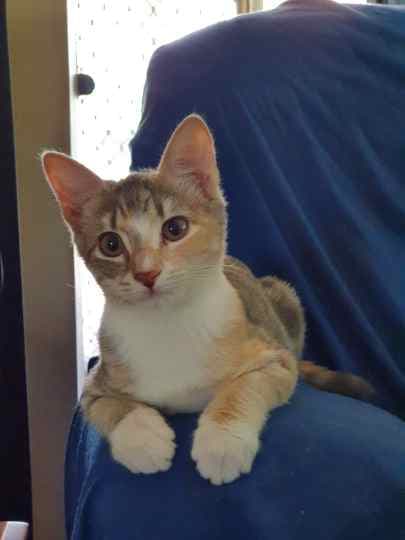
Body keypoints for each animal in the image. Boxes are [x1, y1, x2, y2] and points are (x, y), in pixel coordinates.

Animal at [42, 114, 373, 485]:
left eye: (175, 228)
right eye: (110, 245)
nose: (147, 273)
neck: (168, 324)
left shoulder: (275, 357)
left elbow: (247, 385)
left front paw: (222, 441)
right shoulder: (94, 383)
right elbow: (105, 404)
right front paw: (142, 438)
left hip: (285, 297)